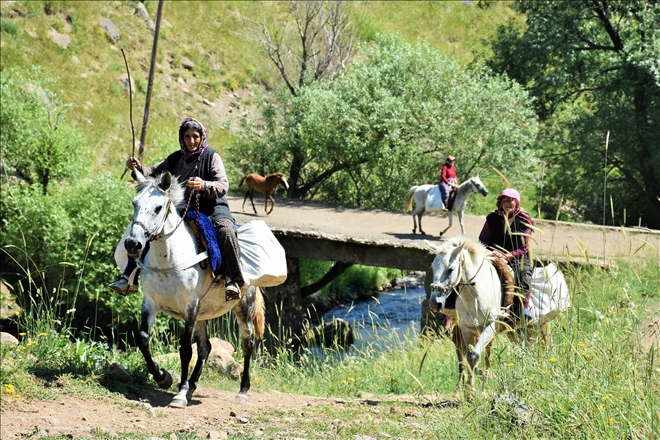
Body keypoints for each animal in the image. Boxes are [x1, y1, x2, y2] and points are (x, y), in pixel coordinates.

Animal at [124, 169, 266, 410]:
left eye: (158, 207)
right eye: (134, 203)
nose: (132, 244)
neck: (169, 257)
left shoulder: (190, 306)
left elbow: (184, 349)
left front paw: (179, 394)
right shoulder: (151, 303)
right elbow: (143, 338)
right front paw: (163, 377)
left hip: (243, 308)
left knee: (247, 345)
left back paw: (242, 391)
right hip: (202, 314)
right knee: (206, 347)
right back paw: (192, 385)